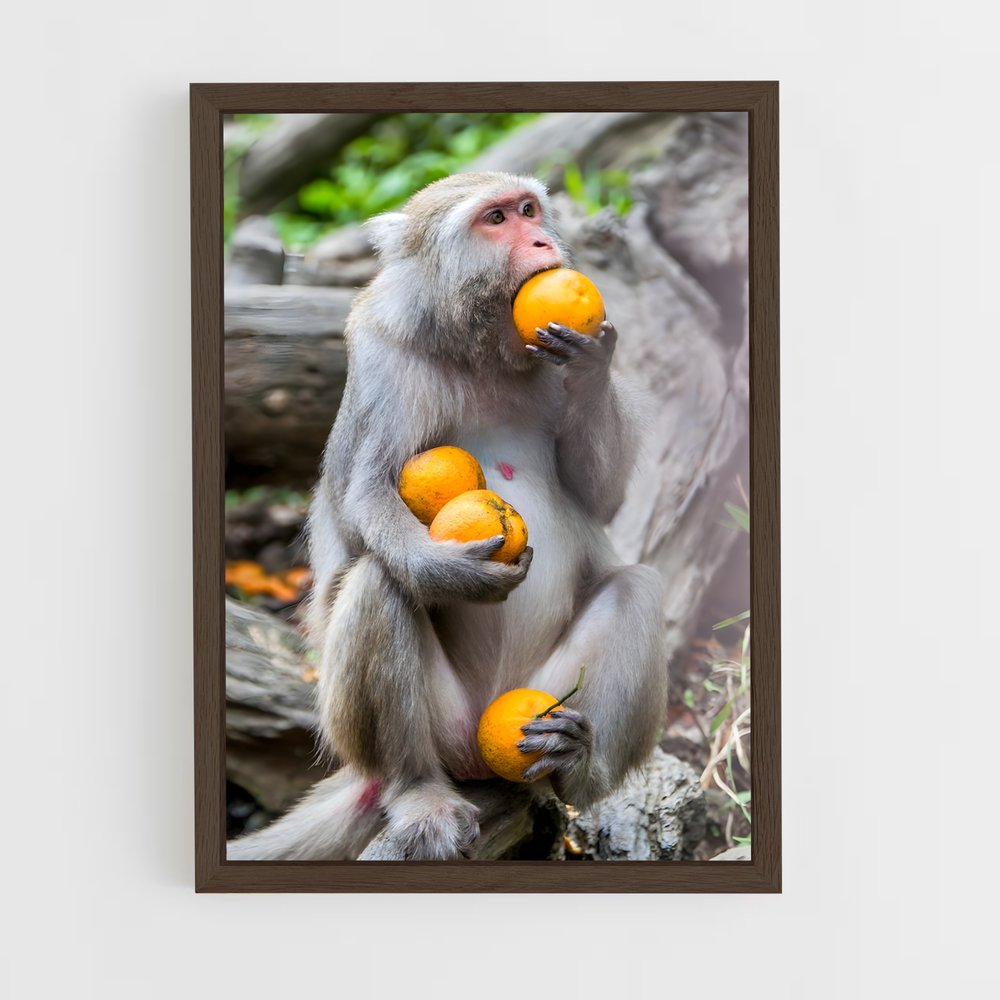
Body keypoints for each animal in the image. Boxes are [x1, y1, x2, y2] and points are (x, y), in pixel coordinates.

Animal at [227, 172, 668, 861]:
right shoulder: (382, 359)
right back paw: (417, 791)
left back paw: (578, 766)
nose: (542, 241)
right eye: (496, 219)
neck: (478, 347)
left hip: (537, 697)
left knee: (637, 590)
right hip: (438, 731)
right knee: (379, 582)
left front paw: (592, 364)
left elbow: (600, 496)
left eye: (529, 210)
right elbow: (366, 497)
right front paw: (450, 574)